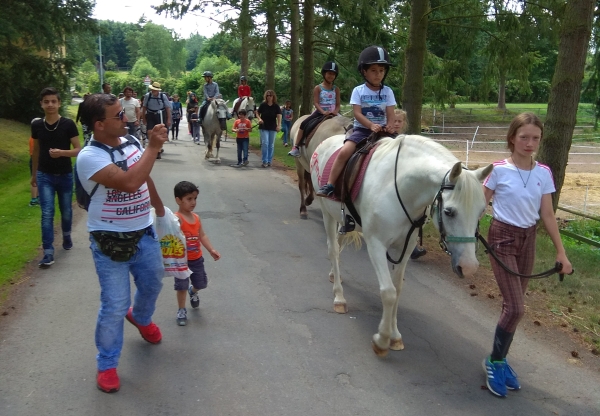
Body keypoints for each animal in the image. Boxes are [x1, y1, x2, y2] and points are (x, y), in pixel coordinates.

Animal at [310, 135, 492, 356]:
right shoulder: (376, 245)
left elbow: (397, 290)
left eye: (481, 211)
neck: (399, 188)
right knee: (333, 250)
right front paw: (382, 339)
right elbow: (388, 292)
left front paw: (395, 336)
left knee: (338, 244)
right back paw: (339, 297)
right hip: (327, 213)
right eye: (449, 211)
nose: (469, 266)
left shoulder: (405, 248)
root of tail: (325, 142)